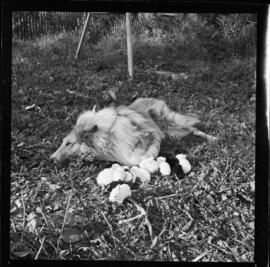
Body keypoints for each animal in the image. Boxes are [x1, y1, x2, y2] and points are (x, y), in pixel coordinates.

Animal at [49, 97, 216, 166]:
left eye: (68, 143)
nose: (50, 159)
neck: (107, 137)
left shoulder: (149, 134)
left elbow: (137, 156)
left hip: (167, 120)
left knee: (194, 127)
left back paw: (213, 138)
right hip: (173, 131)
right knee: (190, 130)